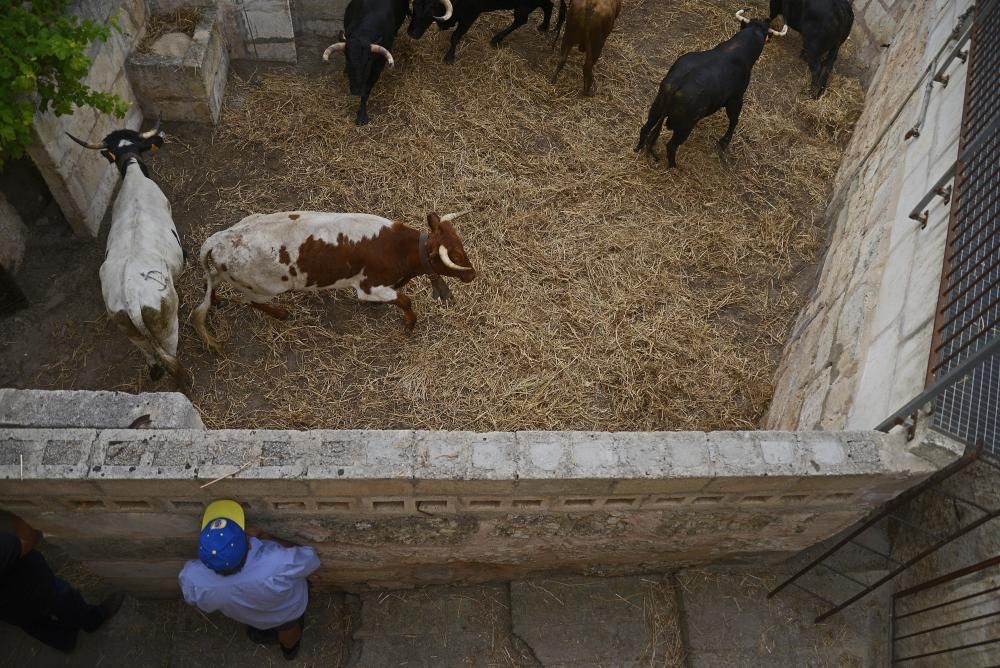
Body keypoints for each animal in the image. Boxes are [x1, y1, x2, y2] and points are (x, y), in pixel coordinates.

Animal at [65, 122, 189, 388]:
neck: (134, 175)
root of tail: (131, 297)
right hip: (168, 325)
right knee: (171, 354)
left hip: (127, 327)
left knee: (149, 355)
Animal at [196, 211, 480, 352]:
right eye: (454, 256)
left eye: (461, 245)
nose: (472, 274)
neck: (397, 248)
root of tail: (220, 239)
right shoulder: (368, 287)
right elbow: (405, 300)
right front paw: (409, 325)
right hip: (263, 289)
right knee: (250, 301)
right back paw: (281, 313)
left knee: (213, 283)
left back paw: (217, 300)